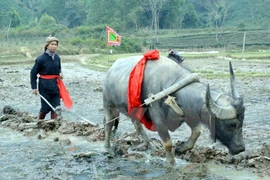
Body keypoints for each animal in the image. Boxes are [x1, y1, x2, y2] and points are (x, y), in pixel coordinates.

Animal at [102, 54, 246, 165]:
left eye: (242, 122)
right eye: (232, 124)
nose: (241, 149)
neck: (173, 86)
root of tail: (110, 70)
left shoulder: (188, 113)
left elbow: (196, 132)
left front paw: (181, 149)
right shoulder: (158, 119)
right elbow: (167, 143)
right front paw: (171, 162)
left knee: (137, 124)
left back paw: (150, 145)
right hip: (109, 106)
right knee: (108, 125)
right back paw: (107, 148)